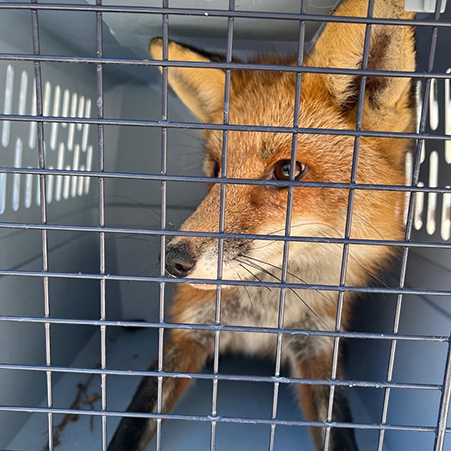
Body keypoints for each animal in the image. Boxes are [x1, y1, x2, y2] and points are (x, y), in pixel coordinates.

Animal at [107, 0, 418, 451]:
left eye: (287, 170)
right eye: (216, 169)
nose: (173, 261)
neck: (264, 308)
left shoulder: (319, 346)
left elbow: (338, 432)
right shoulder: (187, 328)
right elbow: (131, 425)